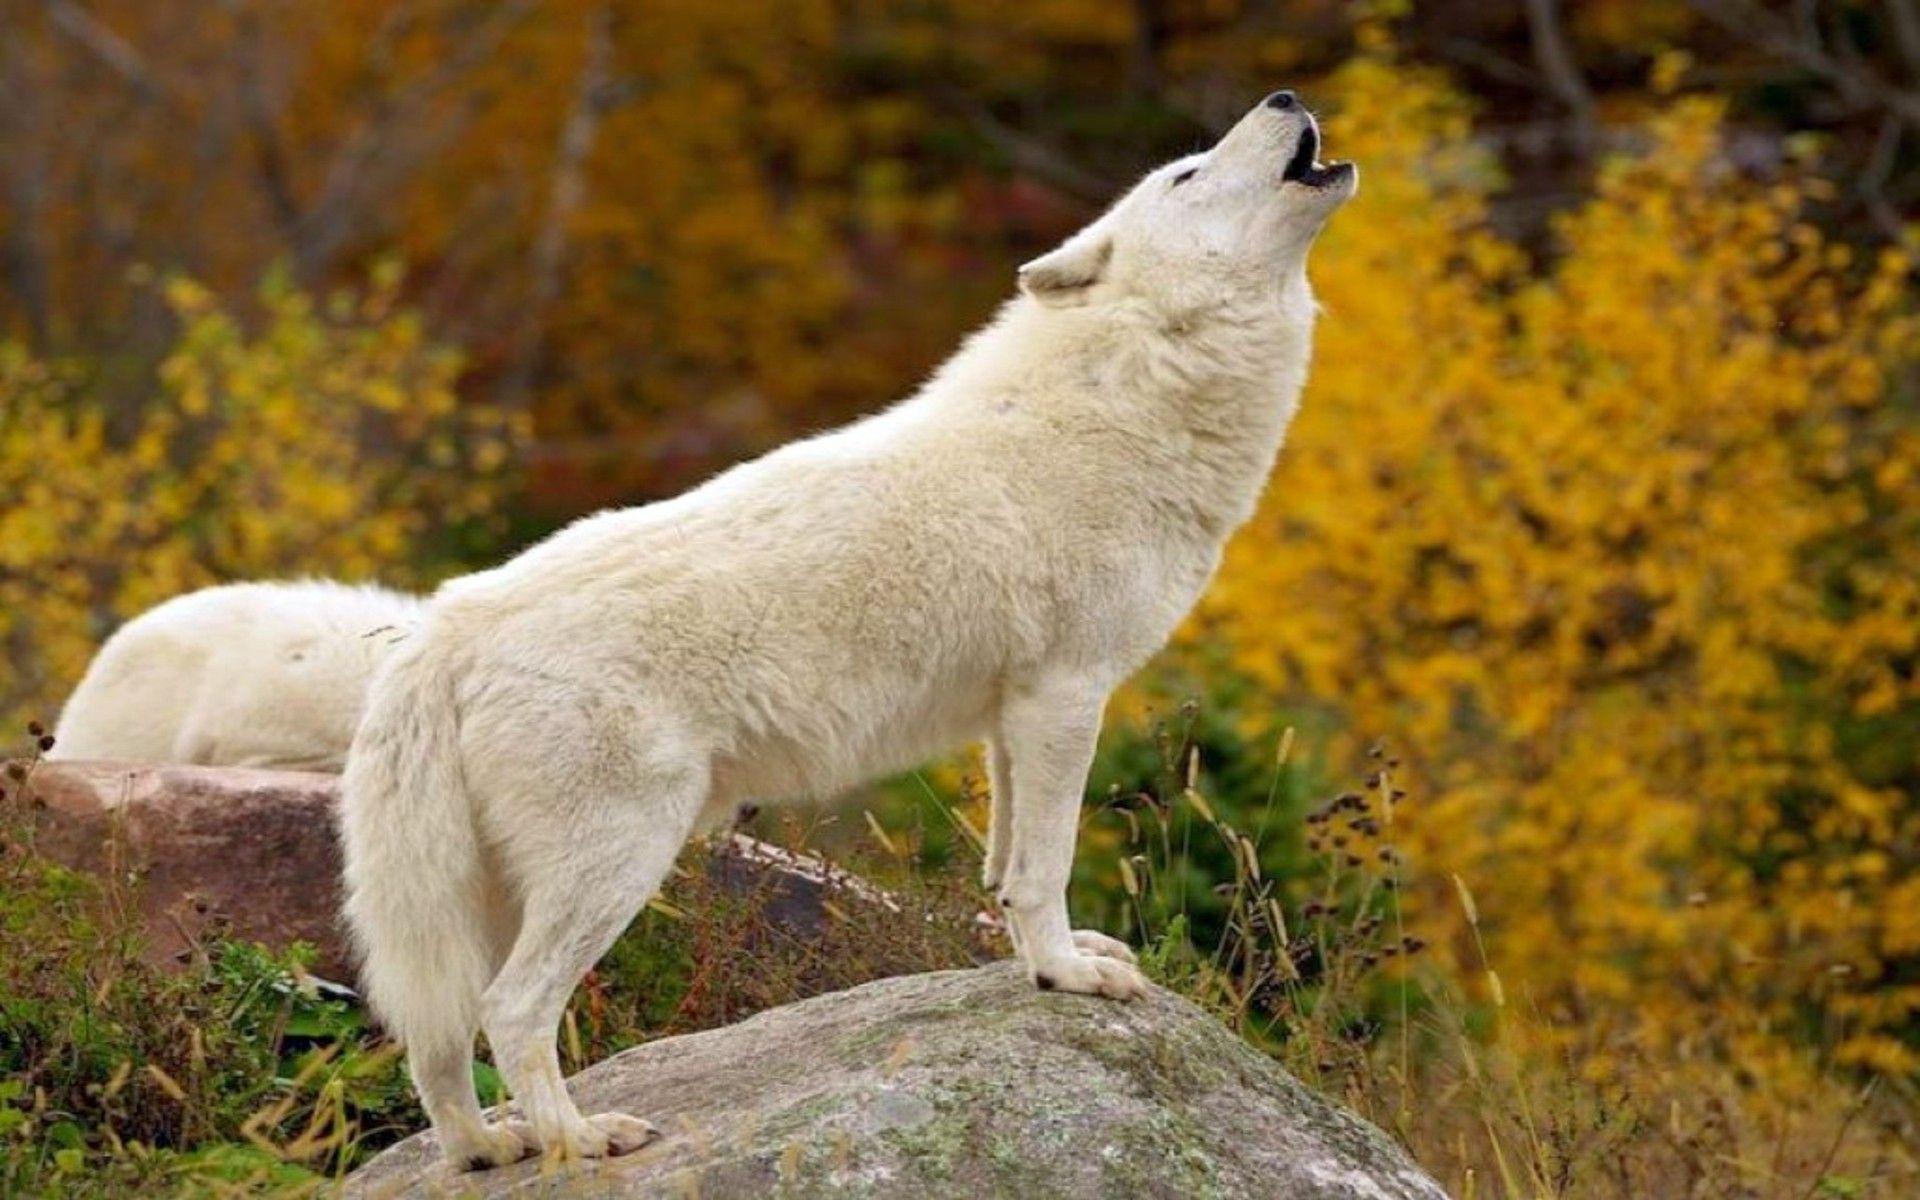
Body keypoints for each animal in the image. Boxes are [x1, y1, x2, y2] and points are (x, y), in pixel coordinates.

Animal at [341, 89, 1355, 1170]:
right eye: (1186, 174)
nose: (1286, 97)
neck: (1124, 396)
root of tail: (445, 628)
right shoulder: (1065, 695)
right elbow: (1046, 867)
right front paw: (1068, 976)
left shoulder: (1012, 719)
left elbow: (1002, 872)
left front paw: (1041, 961)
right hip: (617, 860)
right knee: (513, 1009)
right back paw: (580, 1138)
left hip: (475, 900)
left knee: (433, 1034)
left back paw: (487, 1149)